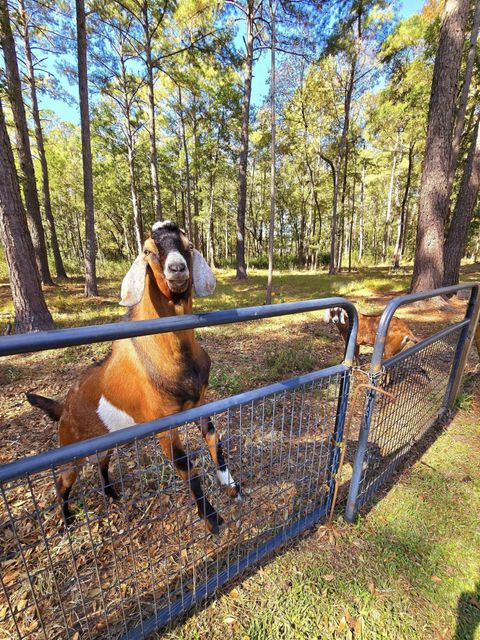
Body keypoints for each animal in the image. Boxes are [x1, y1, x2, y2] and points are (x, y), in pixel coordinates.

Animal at [26, 220, 240, 536]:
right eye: (148, 251)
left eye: (189, 246)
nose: (177, 269)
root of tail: (63, 407)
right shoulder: (163, 423)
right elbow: (185, 466)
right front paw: (212, 519)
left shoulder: (200, 402)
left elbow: (215, 439)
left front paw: (231, 486)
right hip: (70, 450)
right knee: (63, 483)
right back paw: (67, 521)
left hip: (106, 441)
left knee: (102, 465)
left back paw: (112, 494)